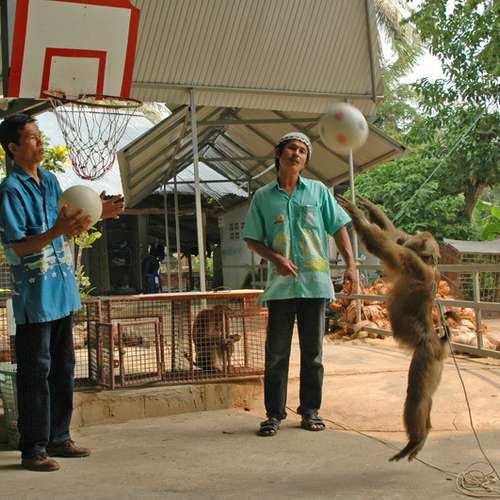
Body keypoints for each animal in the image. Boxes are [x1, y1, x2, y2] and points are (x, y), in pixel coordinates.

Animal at [336, 194, 449, 462]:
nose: (414, 242)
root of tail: (439, 343)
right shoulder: (413, 255)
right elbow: (395, 235)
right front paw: (370, 208)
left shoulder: (413, 263)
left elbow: (385, 246)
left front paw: (355, 213)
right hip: (435, 363)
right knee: (427, 396)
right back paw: (425, 433)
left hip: (426, 356)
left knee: (417, 395)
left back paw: (417, 437)